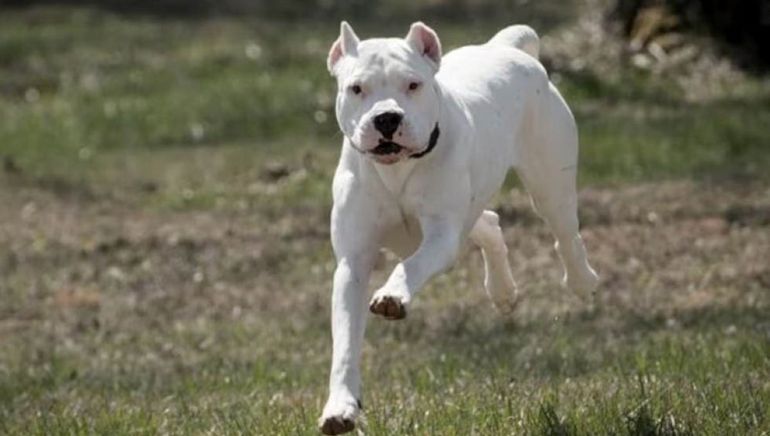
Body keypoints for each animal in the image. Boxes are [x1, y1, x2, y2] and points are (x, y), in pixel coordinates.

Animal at [318, 21, 600, 436]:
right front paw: (340, 408)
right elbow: (346, 343)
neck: (398, 169)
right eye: (356, 88)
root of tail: (505, 47)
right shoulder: (353, 262)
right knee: (490, 223)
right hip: (473, 208)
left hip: (550, 182)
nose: (387, 119)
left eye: (413, 85)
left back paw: (581, 282)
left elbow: (412, 265)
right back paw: (503, 291)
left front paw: (392, 295)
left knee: (565, 233)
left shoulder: (440, 236)